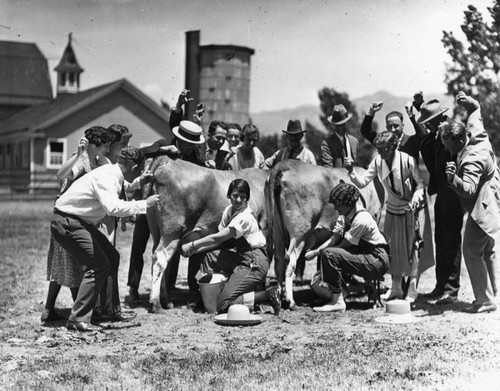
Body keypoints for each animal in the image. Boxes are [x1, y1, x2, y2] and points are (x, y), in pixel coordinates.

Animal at [145, 155, 270, 314]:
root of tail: (167, 160)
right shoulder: (265, 227)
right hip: (172, 230)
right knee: (160, 259)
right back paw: (156, 304)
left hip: (156, 230)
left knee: (160, 260)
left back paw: (166, 301)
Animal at [264, 161, 384, 310]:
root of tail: (285, 164)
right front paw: (373, 297)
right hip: (299, 233)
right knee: (290, 261)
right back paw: (290, 301)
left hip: (277, 231)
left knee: (279, 261)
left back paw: (280, 296)